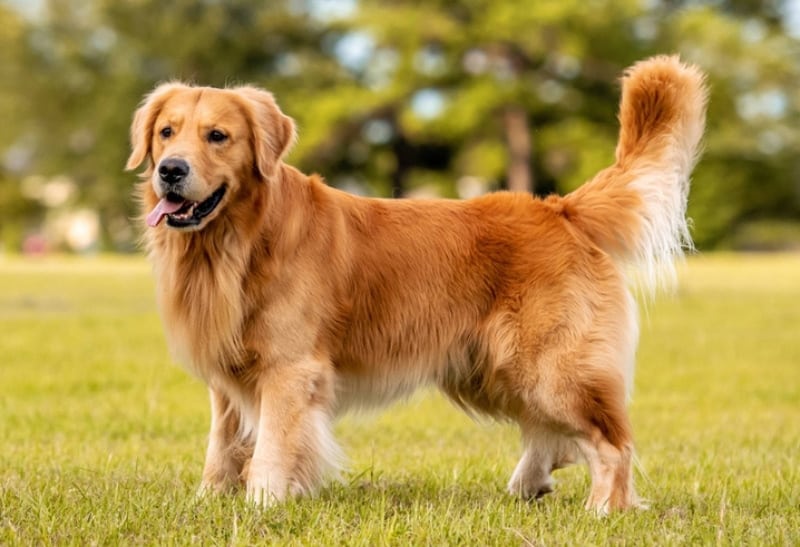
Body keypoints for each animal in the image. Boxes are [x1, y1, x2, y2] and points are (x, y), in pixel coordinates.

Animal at [125, 55, 708, 512]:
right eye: (166, 132)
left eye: (218, 137)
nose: (170, 170)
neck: (237, 241)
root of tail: (558, 209)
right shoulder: (229, 374)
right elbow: (222, 443)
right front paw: (209, 499)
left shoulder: (290, 370)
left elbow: (271, 445)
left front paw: (261, 505)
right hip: (490, 367)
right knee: (554, 435)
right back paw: (529, 484)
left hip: (549, 366)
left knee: (611, 440)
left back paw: (604, 509)